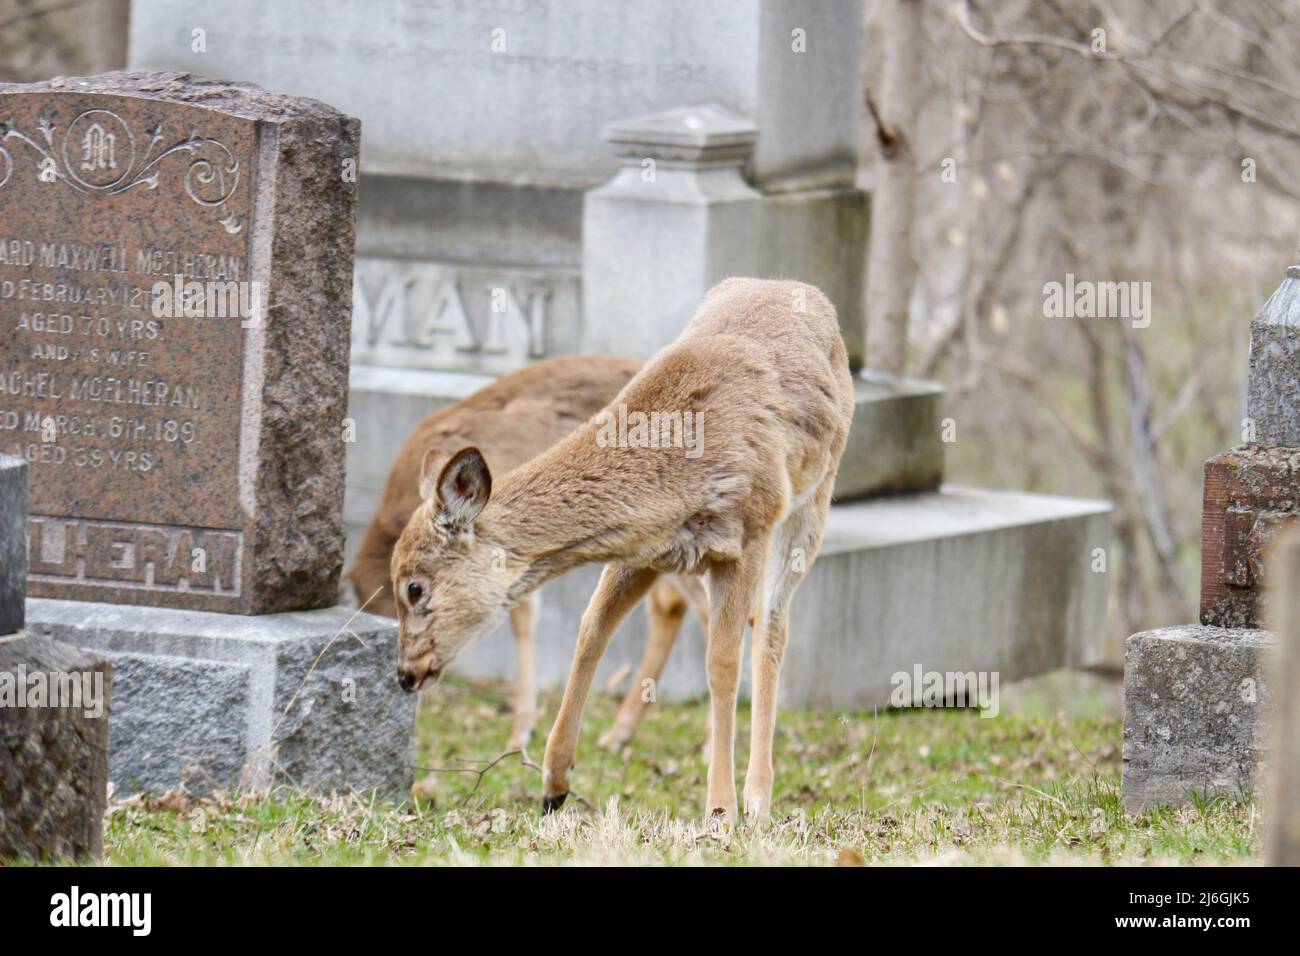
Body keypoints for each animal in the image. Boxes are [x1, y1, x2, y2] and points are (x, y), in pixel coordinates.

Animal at [340, 356, 707, 749]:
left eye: (413, 589)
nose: (406, 677)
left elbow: (522, 617)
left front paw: (521, 733)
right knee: (669, 605)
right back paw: (617, 734)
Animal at [390, 278, 857, 822]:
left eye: (415, 587)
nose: (405, 674)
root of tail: (803, 291)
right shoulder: (644, 549)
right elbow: (590, 629)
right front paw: (553, 785)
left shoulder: (746, 533)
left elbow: (722, 662)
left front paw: (720, 811)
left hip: (810, 506)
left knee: (773, 631)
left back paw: (759, 799)